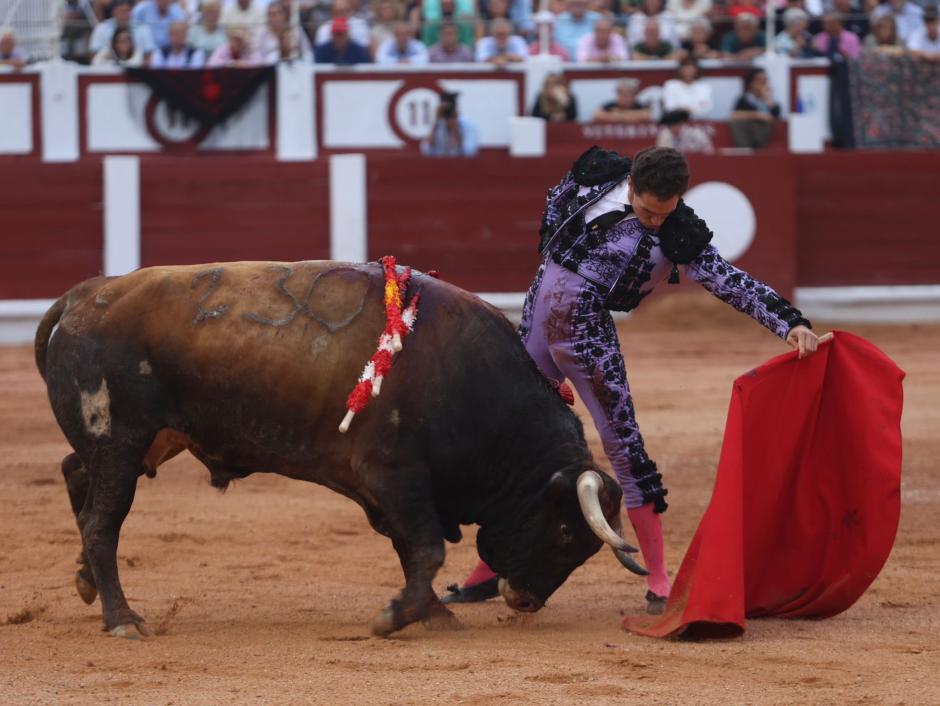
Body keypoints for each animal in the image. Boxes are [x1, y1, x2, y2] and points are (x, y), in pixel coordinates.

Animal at [33, 260, 644, 640]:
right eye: (564, 532)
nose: (524, 600)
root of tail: (84, 296)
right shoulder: (393, 473)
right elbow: (426, 549)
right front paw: (396, 617)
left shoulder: (395, 489)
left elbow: (410, 549)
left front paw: (431, 614)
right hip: (120, 440)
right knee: (101, 522)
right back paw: (122, 618)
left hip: (144, 443)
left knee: (75, 475)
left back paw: (86, 583)